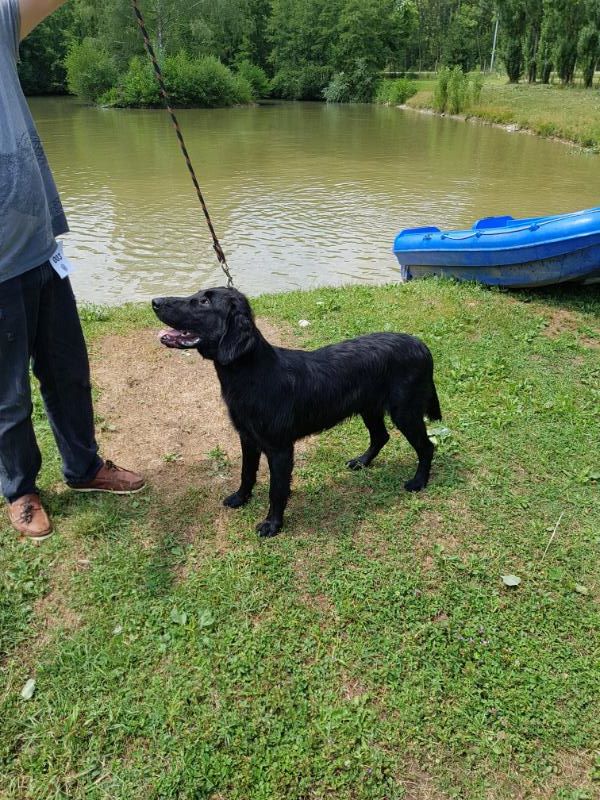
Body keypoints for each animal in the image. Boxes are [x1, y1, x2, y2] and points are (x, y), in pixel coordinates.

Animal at [150, 288, 440, 536]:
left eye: (204, 301)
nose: (155, 301)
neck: (252, 374)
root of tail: (421, 345)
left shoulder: (280, 449)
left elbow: (277, 490)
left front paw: (272, 524)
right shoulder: (248, 438)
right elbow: (246, 473)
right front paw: (240, 498)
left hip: (405, 412)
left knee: (427, 446)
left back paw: (418, 482)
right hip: (369, 408)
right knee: (381, 436)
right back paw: (362, 461)